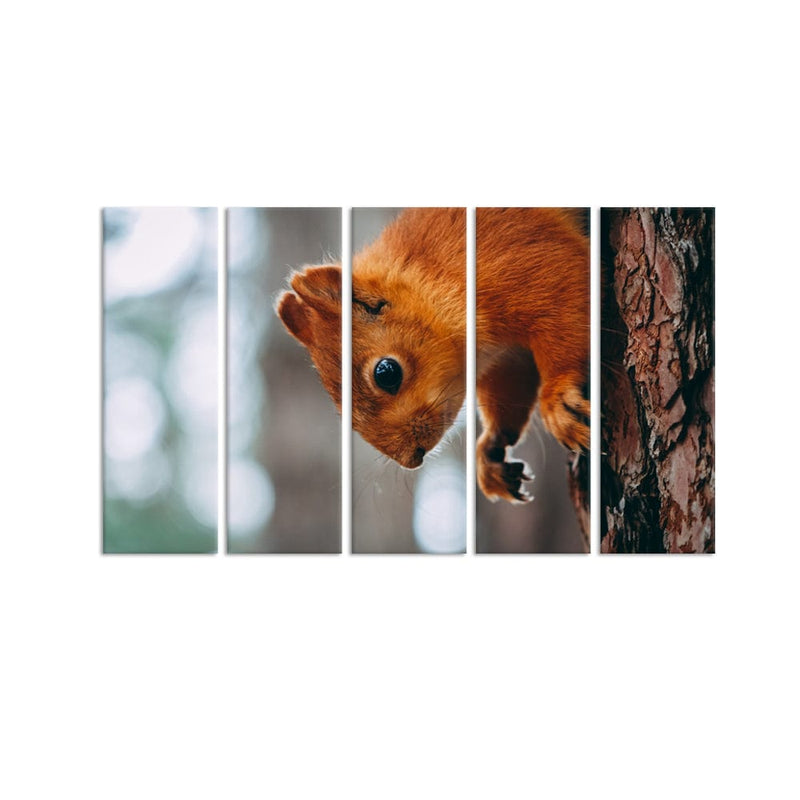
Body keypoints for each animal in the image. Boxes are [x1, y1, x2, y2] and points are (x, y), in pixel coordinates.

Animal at [276, 207, 589, 503]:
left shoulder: (523, 256)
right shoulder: (506, 357)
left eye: (386, 372)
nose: (412, 458)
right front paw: (491, 449)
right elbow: (511, 386)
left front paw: (558, 398)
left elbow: (569, 295)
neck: (434, 276)